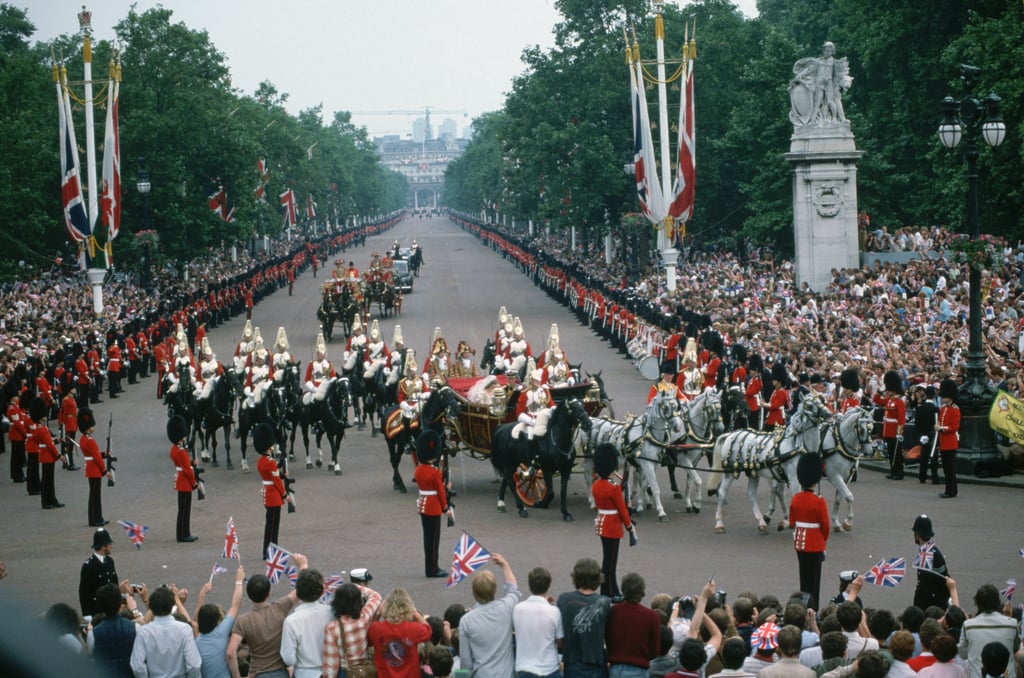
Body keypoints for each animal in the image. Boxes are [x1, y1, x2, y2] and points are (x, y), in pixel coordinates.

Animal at [708, 399, 835, 536]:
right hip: (730, 472)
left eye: (822, 400)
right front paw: (788, 523)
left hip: (752, 472)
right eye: (810, 405)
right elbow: (795, 497)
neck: (798, 446)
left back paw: (761, 523)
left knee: (751, 494)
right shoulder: (793, 477)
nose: (830, 414)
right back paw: (719, 524)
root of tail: (730, 434)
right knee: (722, 492)